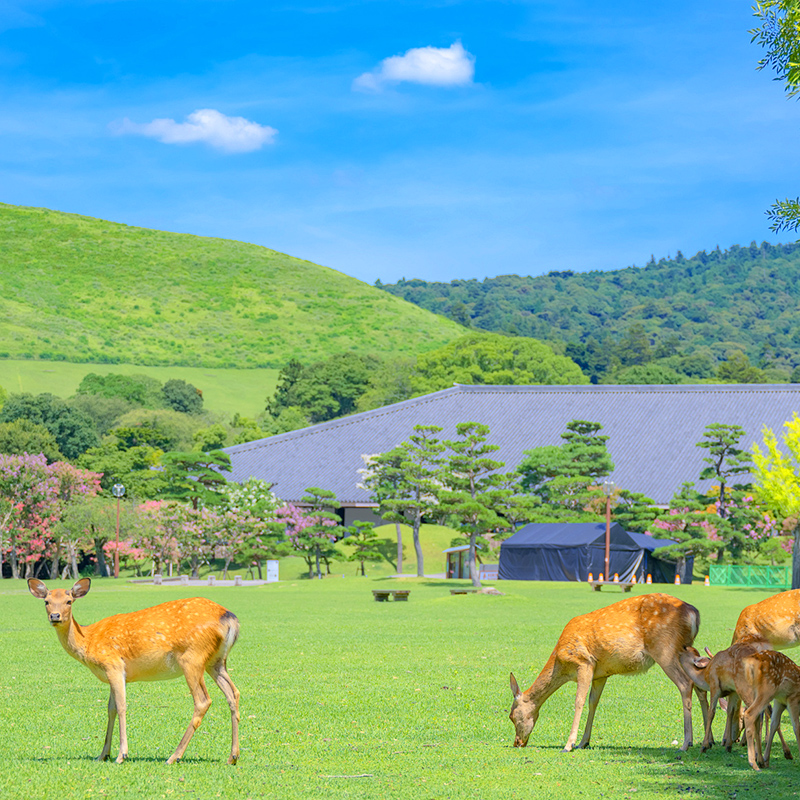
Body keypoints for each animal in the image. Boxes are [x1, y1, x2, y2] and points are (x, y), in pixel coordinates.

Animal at [28, 580, 241, 764]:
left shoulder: (113, 664)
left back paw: (174, 756)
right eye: (47, 601)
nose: (55, 616)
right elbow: (111, 709)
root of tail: (230, 619)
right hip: (216, 661)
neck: (88, 641)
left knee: (203, 700)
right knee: (234, 693)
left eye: (69, 600)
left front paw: (122, 755)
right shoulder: (112, 674)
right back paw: (233, 756)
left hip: (192, 657)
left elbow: (122, 707)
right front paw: (102, 754)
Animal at [510, 592, 704, 752]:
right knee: (699, 684)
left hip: (664, 648)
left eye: (512, 716)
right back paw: (703, 742)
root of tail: (694, 614)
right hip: (685, 650)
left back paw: (685, 743)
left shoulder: (584, 662)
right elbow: (593, 702)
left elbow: (579, 701)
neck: (560, 662)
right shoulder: (601, 674)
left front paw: (569, 744)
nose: (517, 742)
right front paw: (583, 742)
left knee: (685, 684)